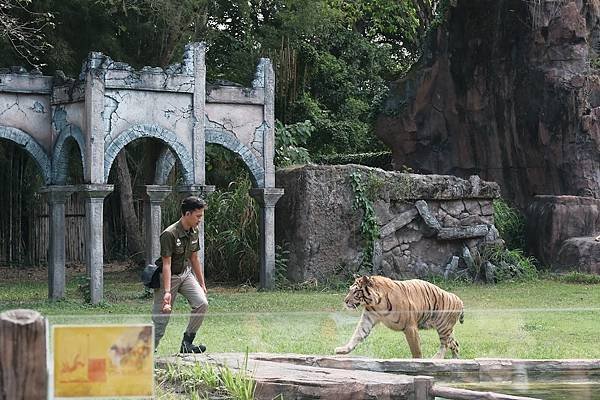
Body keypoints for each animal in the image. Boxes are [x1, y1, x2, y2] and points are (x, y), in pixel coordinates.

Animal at [336, 276, 466, 360]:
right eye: (350, 290)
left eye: (356, 291)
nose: (345, 301)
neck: (377, 304)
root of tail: (459, 299)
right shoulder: (368, 319)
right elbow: (357, 335)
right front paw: (343, 350)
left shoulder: (410, 327)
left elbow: (416, 349)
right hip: (447, 329)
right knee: (454, 343)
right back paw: (455, 360)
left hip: (443, 327)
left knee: (445, 344)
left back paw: (437, 358)